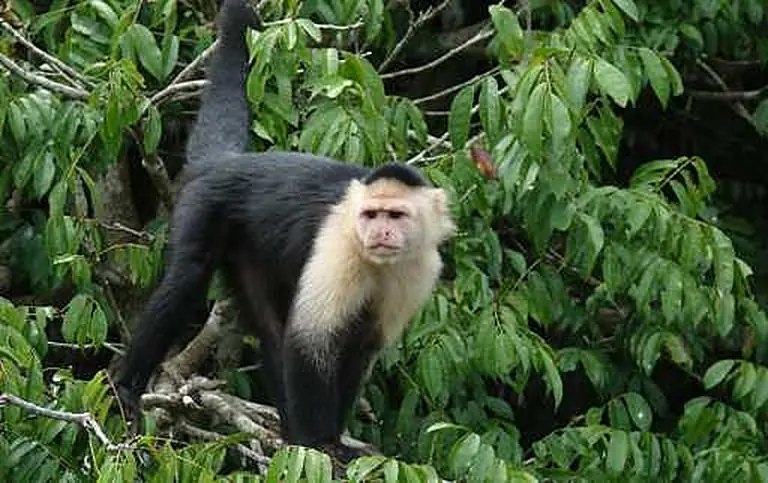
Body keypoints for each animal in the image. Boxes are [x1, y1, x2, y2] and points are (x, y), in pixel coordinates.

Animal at [112, 0, 455, 460]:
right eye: (371, 215)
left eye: (395, 217)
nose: (380, 234)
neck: (375, 259)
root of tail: (228, 162)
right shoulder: (339, 244)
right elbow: (310, 341)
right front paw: (320, 443)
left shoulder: (420, 268)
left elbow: (359, 346)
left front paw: (326, 437)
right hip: (203, 205)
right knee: (188, 279)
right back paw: (126, 387)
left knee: (270, 324)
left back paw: (287, 431)